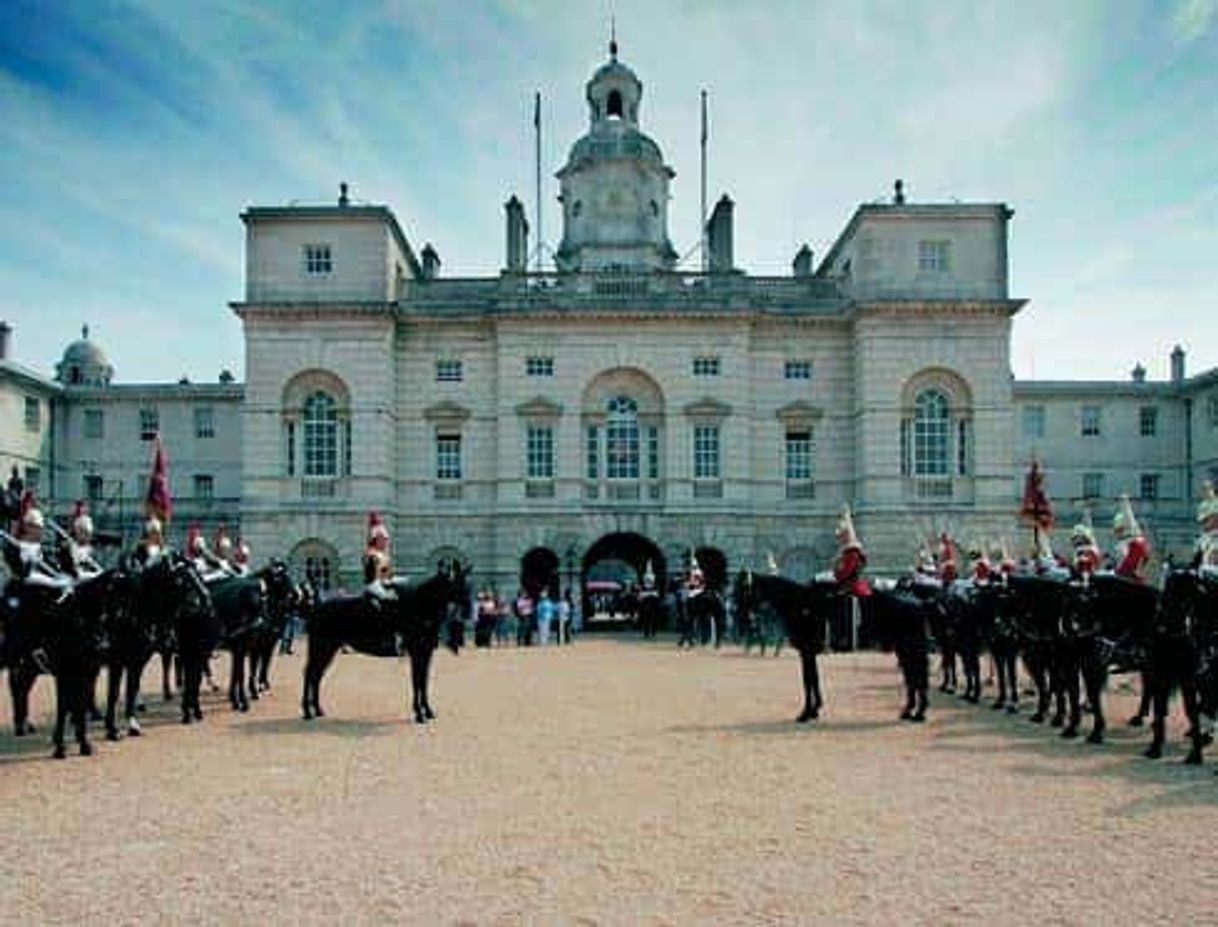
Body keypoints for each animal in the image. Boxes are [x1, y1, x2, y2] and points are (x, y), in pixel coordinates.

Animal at [302, 565, 472, 721]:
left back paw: (317, 710)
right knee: (310, 674)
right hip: (321, 648)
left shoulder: (426, 653)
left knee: (316, 676)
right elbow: (417, 680)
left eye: (466, 583)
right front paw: (419, 713)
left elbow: (423, 681)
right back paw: (307, 711)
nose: (468, 611)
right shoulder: (416, 652)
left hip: (328, 650)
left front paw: (427, 711)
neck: (420, 607)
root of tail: (316, 607)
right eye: (456, 584)